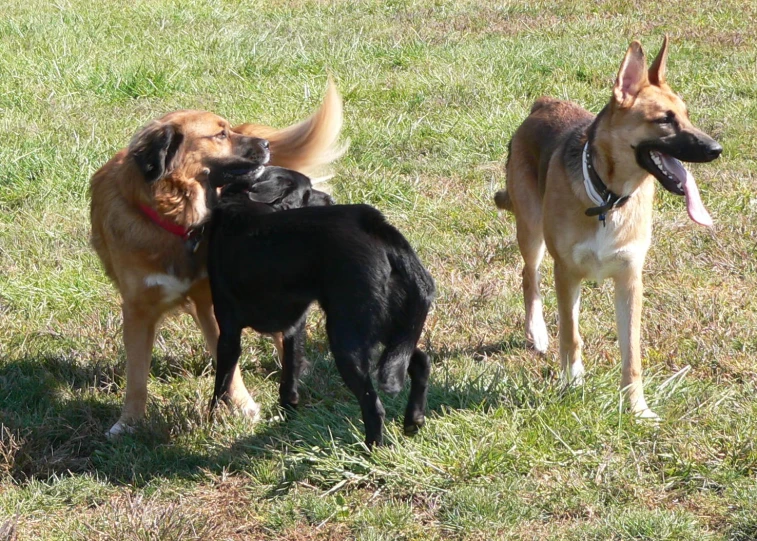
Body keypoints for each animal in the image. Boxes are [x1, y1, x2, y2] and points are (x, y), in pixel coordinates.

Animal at [89, 80, 346, 436]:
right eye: (220, 134)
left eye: (229, 128)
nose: (266, 144)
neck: (176, 222)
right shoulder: (138, 309)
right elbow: (137, 375)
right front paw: (128, 423)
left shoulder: (210, 302)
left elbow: (230, 364)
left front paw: (245, 407)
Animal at [205, 171, 438, 446]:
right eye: (307, 192)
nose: (330, 199)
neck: (244, 202)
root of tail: (378, 227)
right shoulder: (294, 327)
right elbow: (289, 373)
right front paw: (288, 414)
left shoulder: (229, 334)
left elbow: (222, 384)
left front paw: (209, 423)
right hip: (385, 323)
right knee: (420, 360)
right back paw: (414, 419)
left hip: (346, 338)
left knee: (373, 406)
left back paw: (372, 448)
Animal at [496, 39, 720, 418]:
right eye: (665, 120)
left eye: (686, 114)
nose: (716, 149)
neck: (607, 197)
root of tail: (544, 103)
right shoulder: (566, 273)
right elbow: (570, 336)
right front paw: (572, 384)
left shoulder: (630, 280)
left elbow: (632, 354)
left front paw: (637, 408)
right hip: (531, 230)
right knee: (529, 277)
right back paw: (537, 331)